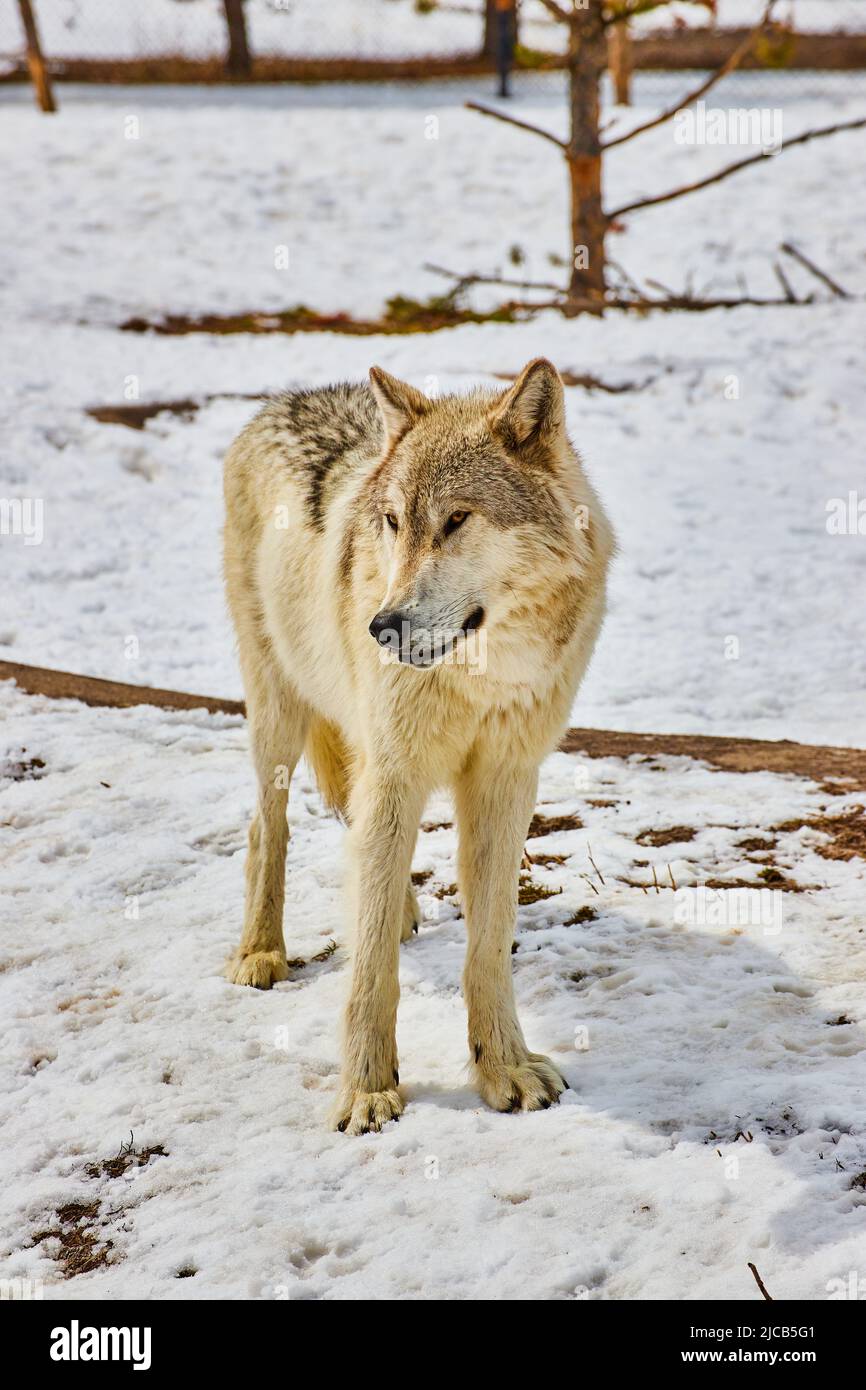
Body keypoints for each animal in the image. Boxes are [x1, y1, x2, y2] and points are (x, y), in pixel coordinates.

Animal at [223, 358, 613, 1134]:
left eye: (457, 520)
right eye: (394, 523)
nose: (380, 626)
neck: (484, 676)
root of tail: (287, 398)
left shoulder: (506, 779)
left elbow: (487, 947)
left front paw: (504, 1069)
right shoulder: (396, 771)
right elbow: (371, 969)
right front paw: (367, 1092)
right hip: (279, 711)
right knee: (266, 828)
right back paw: (261, 951)